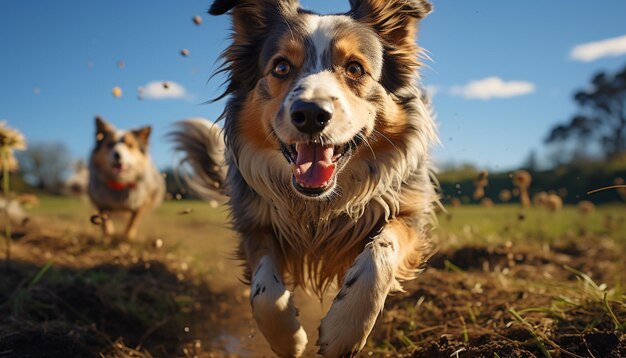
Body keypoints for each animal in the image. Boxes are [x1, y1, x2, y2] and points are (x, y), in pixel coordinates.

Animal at [169, 0, 434, 356]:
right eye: (281, 67)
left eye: (355, 69)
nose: (310, 113)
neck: (318, 206)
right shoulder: (254, 223)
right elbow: (264, 290)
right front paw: (287, 338)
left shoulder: (409, 212)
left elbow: (379, 255)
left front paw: (344, 330)